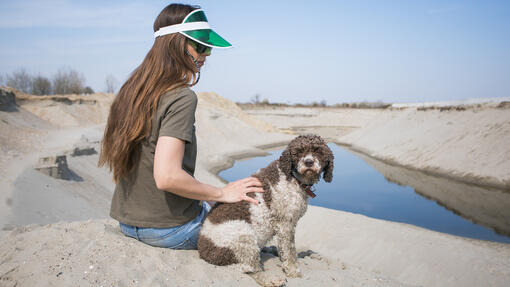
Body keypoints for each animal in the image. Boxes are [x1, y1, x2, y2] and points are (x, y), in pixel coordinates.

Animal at [197, 135, 332, 286]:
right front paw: (294, 271)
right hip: (243, 235)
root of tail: (203, 251)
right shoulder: (285, 224)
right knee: (248, 269)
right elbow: (290, 251)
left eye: (318, 151)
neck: (292, 177)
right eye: (298, 151)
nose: (308, 162)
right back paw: (271, 280)